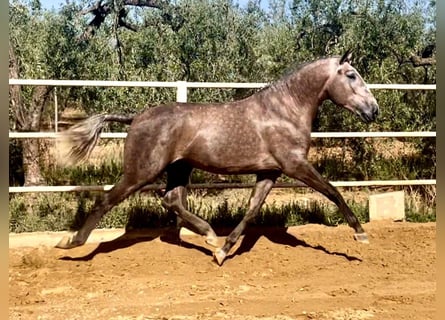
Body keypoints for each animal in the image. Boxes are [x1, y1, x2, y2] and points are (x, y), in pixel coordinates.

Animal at [53, 50, 376, 264]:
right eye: (351, 75)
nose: (373, 110)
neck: (284, 111)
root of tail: (136, 117)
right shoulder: (294, 165)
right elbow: (333, 191)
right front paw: (360, 234)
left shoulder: (270, 172)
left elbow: (251, 210)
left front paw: (222, 251)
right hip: (140, 172)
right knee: (108, 199)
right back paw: (70, 243)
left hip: (179, 169)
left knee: (171, 200)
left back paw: (209, 235)